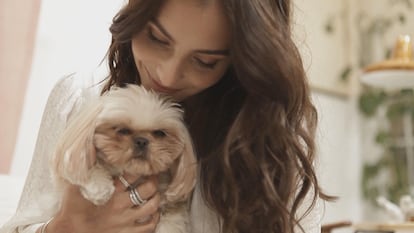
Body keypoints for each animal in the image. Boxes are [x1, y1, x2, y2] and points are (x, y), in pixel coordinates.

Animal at [51, 84, 197, 232]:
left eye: (160, 133)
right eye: (122, 130)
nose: (142, 141)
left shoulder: (172, 210)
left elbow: (171, 223)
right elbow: (89, 167)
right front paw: (100, 188)